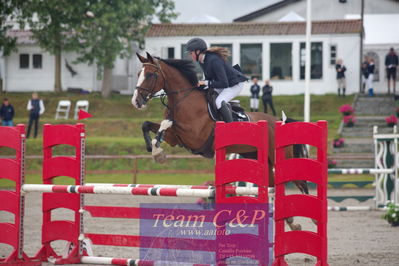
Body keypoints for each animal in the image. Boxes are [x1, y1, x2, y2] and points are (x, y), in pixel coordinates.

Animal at [131, 52, 310, 231]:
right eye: (139, 74)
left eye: (150, 75)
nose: (136, 101)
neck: (183, 100)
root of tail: (278, 121)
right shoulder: (175, 138)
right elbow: (147, 125)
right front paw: (155, 151)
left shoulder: (194, 136)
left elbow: (166, 123)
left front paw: (157, 151)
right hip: (259, 158)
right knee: (273, 186)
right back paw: (292, 222)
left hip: (279, 157)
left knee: (300, 183)